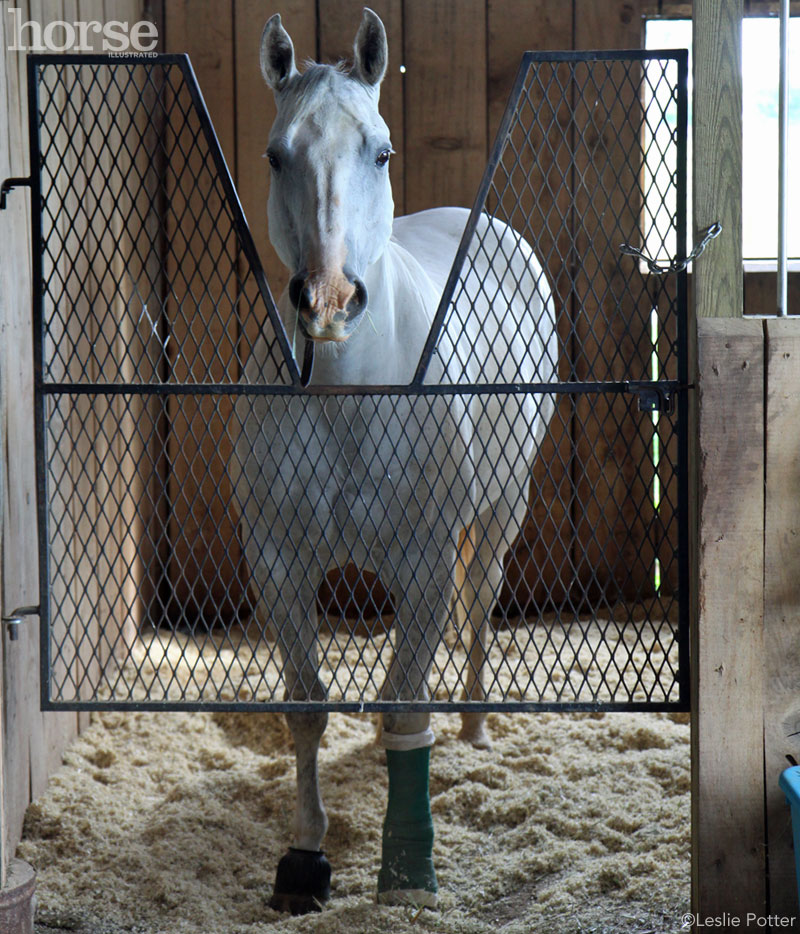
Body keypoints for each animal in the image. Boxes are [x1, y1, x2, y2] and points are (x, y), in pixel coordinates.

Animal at [231, 7, 556, 916]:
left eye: (379, 150)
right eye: (276, 154)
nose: (330, 300)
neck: (350, 398)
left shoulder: (423, 562)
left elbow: (404, 708)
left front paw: (408, 867)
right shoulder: (276, 562)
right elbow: (307, 708)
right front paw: (306, 854)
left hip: (503, 507)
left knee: (479, 601)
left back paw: (476, 726)